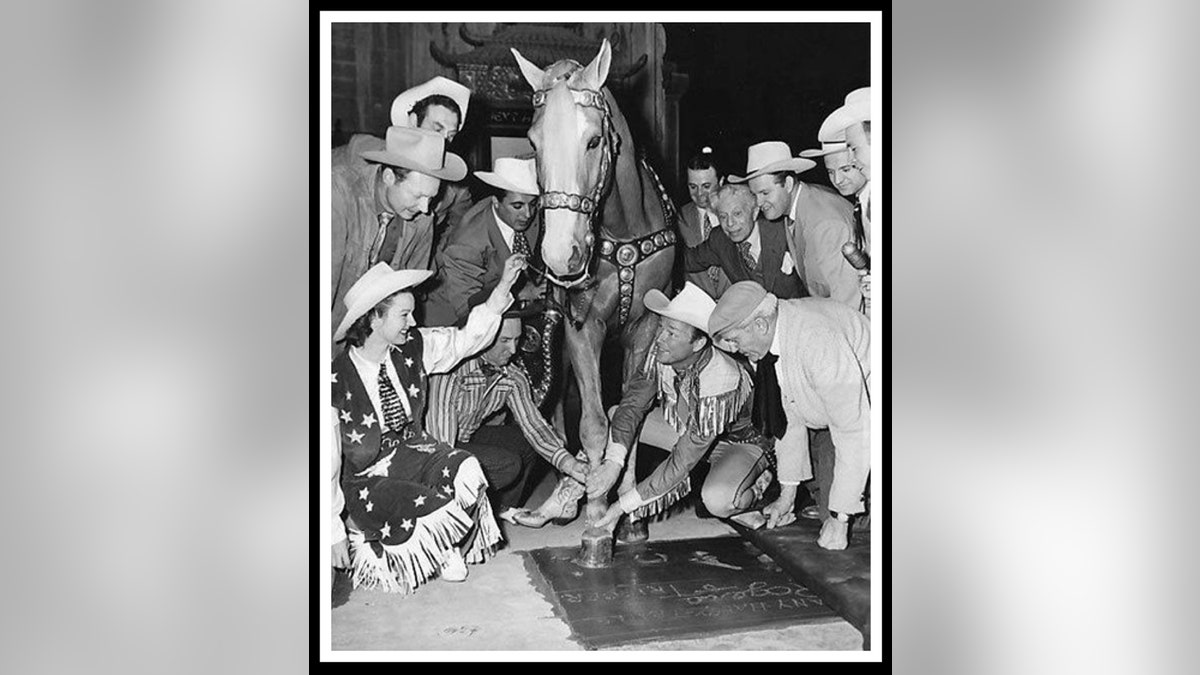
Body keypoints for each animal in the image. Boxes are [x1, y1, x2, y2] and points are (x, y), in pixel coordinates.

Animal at [511, 40, 676, 530]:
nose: (561, 255)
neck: (621, 233)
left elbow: (629, 414)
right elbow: (594, 423)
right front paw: (597, 514)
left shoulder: (646, 329)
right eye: (533, 142)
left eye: (594, 140)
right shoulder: (581, 328)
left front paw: (630, 514)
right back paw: (565, 495)